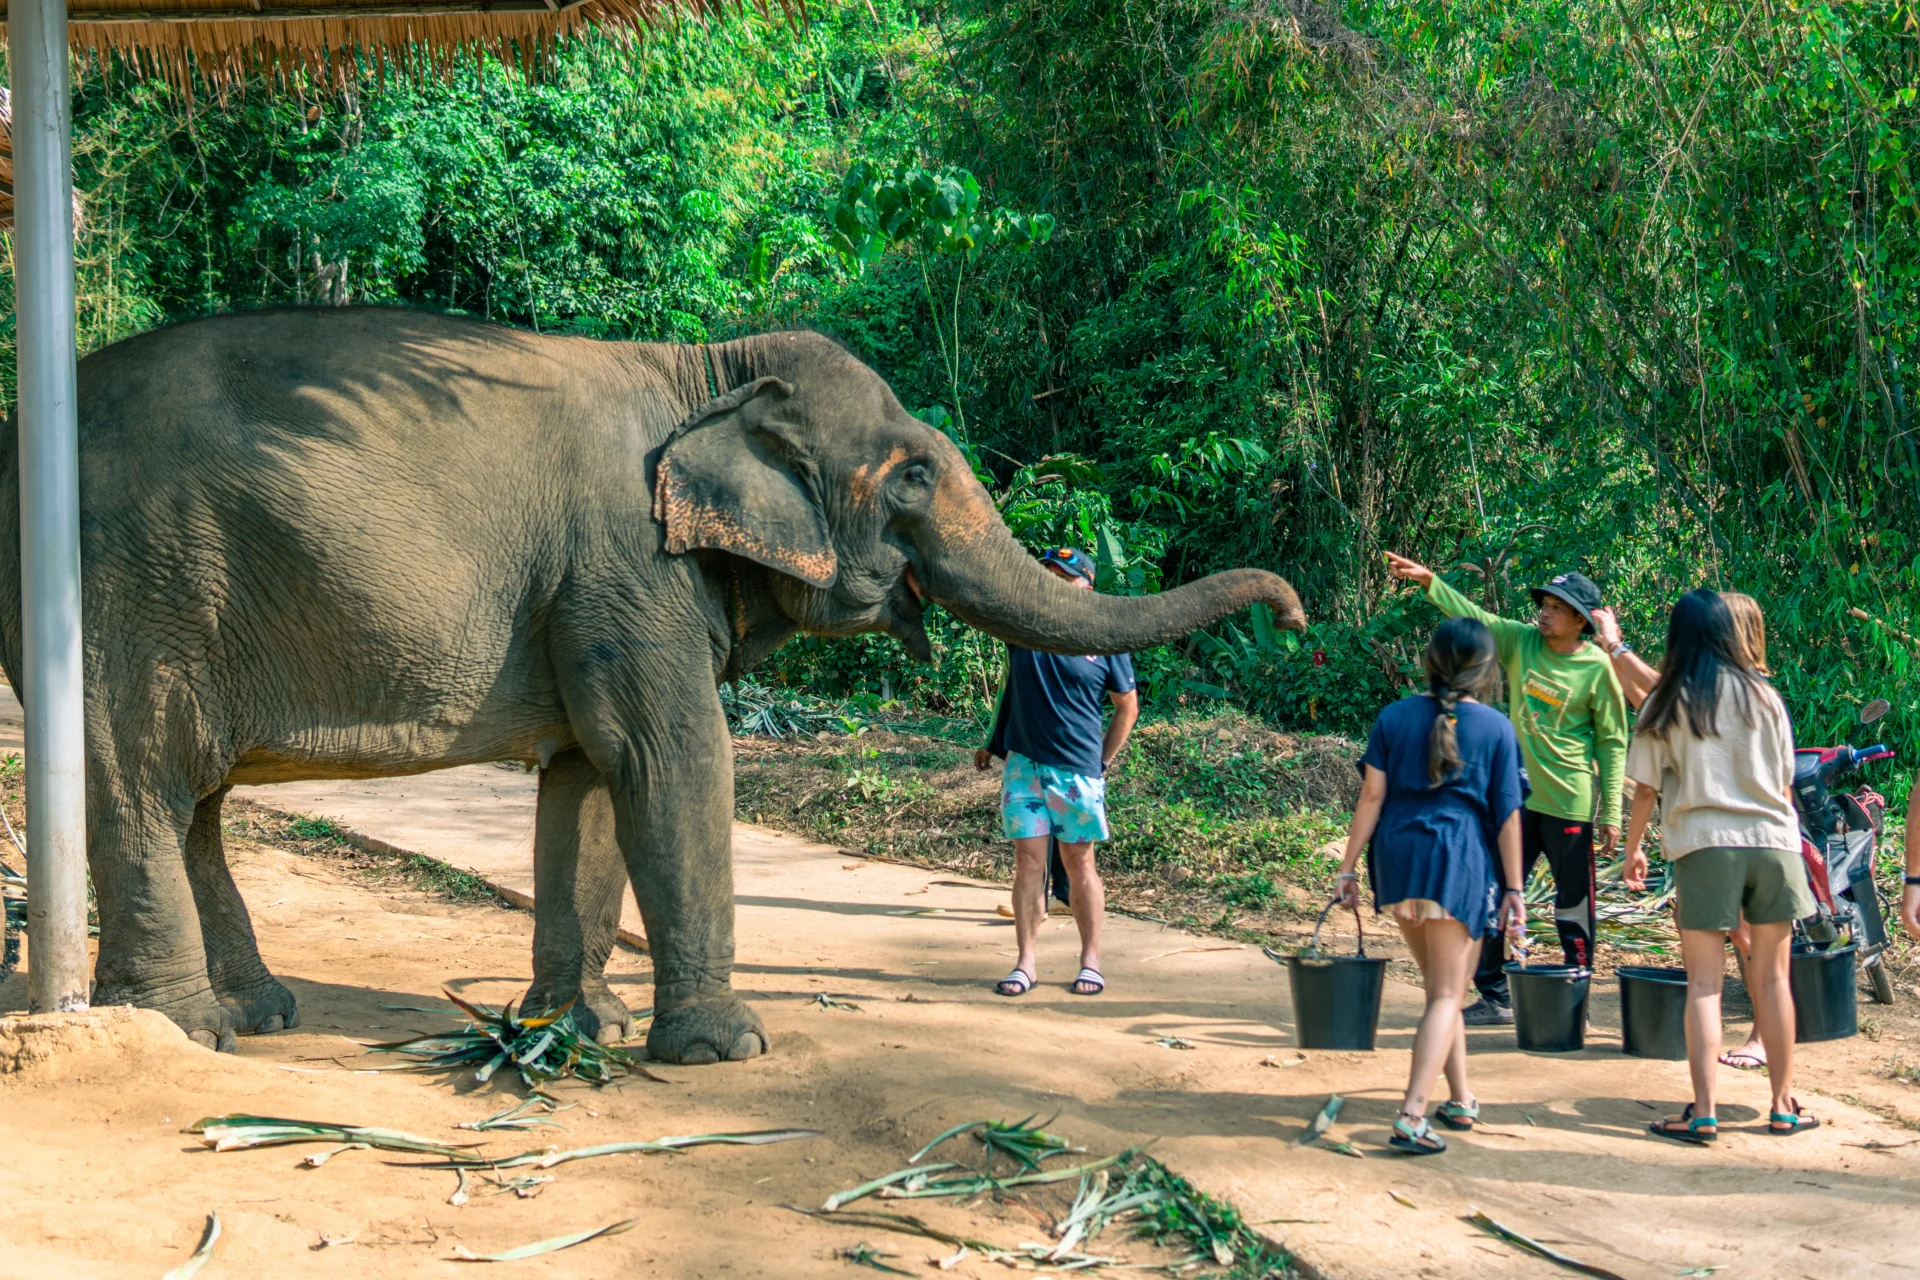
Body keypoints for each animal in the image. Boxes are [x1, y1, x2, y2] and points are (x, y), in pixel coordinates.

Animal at [0, 307, 1306, 1063]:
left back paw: (262, 1015)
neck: (705, 370)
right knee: (139, 772)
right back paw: (187, 1033)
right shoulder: (628, 560)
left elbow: (587, 776)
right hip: (124, 584)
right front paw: (728, 1049)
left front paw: (575, 1032)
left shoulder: (595, 586)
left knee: (197, 799)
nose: (1295, 612)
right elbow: (673, 756)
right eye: (914, 475)